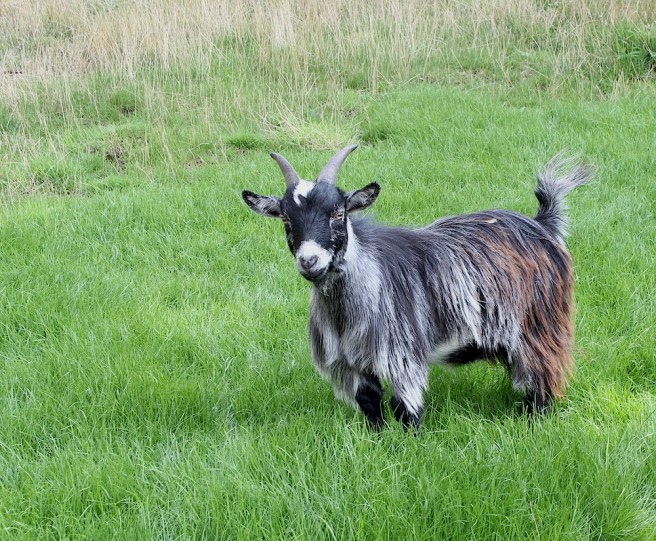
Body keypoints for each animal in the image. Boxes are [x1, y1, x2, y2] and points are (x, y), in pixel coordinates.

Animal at [242, 145, 591, 429]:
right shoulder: (352, 359)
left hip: (539, 324)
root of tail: (542, 224)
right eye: (286, 219)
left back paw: (535, 421)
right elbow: (370, 403)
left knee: (542, 375)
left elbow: (404, 408)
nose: (309, 261)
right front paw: (378, 440)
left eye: (338, 213)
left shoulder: (402, 351)